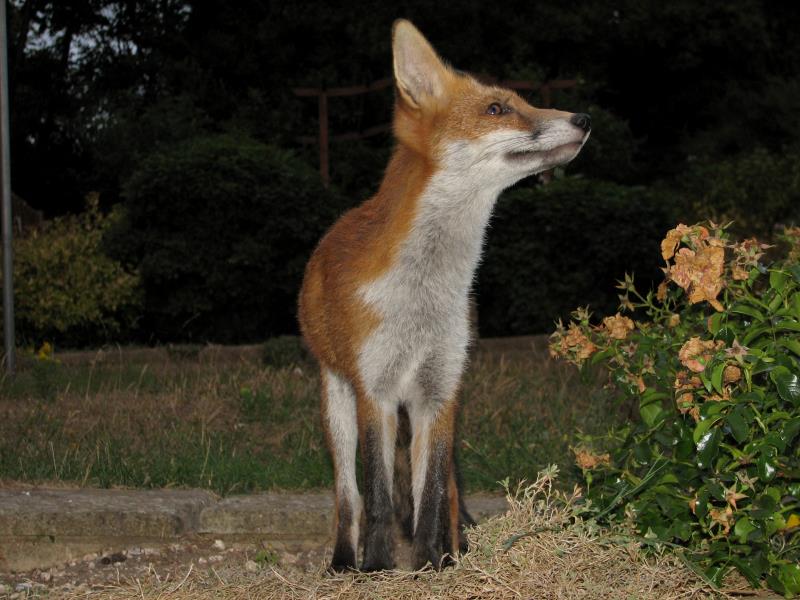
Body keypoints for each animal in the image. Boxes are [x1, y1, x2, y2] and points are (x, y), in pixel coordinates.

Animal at [296, 17, 592, 572]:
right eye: (497, 109)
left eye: (523, 100)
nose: (583, 118)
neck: (423, 300)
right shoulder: (376, 390)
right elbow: (377, 497)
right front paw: (378, 568)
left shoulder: (441, 389)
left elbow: (431, 493)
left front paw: (434, 564)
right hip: (337, 401)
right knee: (349, 494)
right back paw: (345, 560)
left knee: (445, 488)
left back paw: (457, 549)